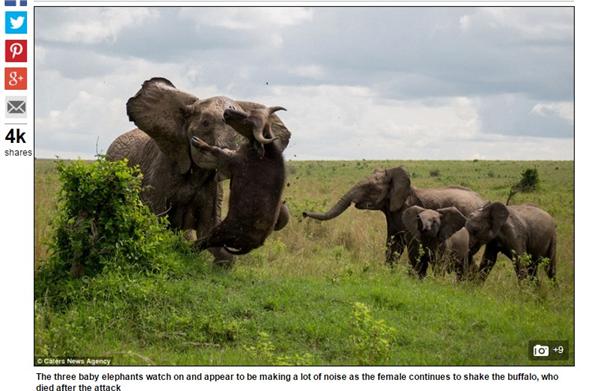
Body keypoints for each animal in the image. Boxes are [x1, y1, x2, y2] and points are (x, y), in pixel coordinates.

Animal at [190, 104, 288, 260]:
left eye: (248, 122)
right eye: (248, 112)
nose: (227, 112)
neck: (264, 153)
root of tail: (255, 244)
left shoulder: (232, 160)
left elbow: (216, 150)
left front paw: (198, 142)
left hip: (220, 232)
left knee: (203, 242)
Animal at [302, 167, 486, 278]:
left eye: (370, 188)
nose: (303, 213)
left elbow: (412, 246)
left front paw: (414, 279)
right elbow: (392, 244)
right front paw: (388, 274)